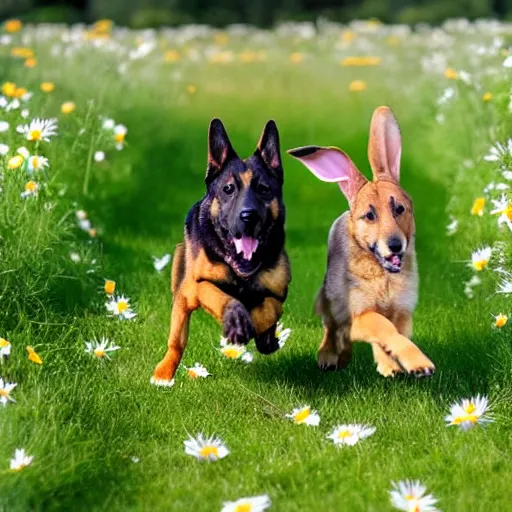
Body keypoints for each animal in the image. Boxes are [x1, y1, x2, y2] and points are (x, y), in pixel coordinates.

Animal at [150, 118, 290, 386]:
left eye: (264, 189)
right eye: (228, 189)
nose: (249, 216)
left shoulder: (278, 291)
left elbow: (269, 307)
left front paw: (261, 331)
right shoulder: (196, 286)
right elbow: (217, 293)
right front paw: (237, 319)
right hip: (181, 288)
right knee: (176, 340)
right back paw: (163, 373)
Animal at [286, 107, 434, 376]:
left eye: (400, 208)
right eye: (370, 215)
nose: (395, 245)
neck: (383, 274)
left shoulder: (403, 311)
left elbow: (394, 335)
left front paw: (397, 366)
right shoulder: (360, 312)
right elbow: (383, 328)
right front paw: (420, 365)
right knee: (331, 328)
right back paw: (328, 358)